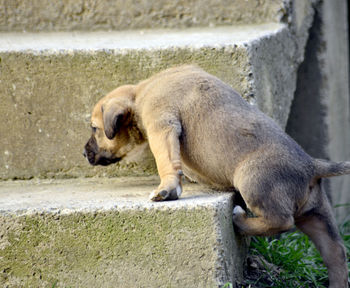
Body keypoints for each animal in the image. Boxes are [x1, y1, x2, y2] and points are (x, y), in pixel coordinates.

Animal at [83, 65, 348, 288]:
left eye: (95, 129)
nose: (84, 153)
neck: (140, 94)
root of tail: (311, 165)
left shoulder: (161, 125)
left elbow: (165, 161)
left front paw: (167, 190)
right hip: (317, 216)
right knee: (335, 253)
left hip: (251, 181)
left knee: (281, 221)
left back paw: (240, 220)